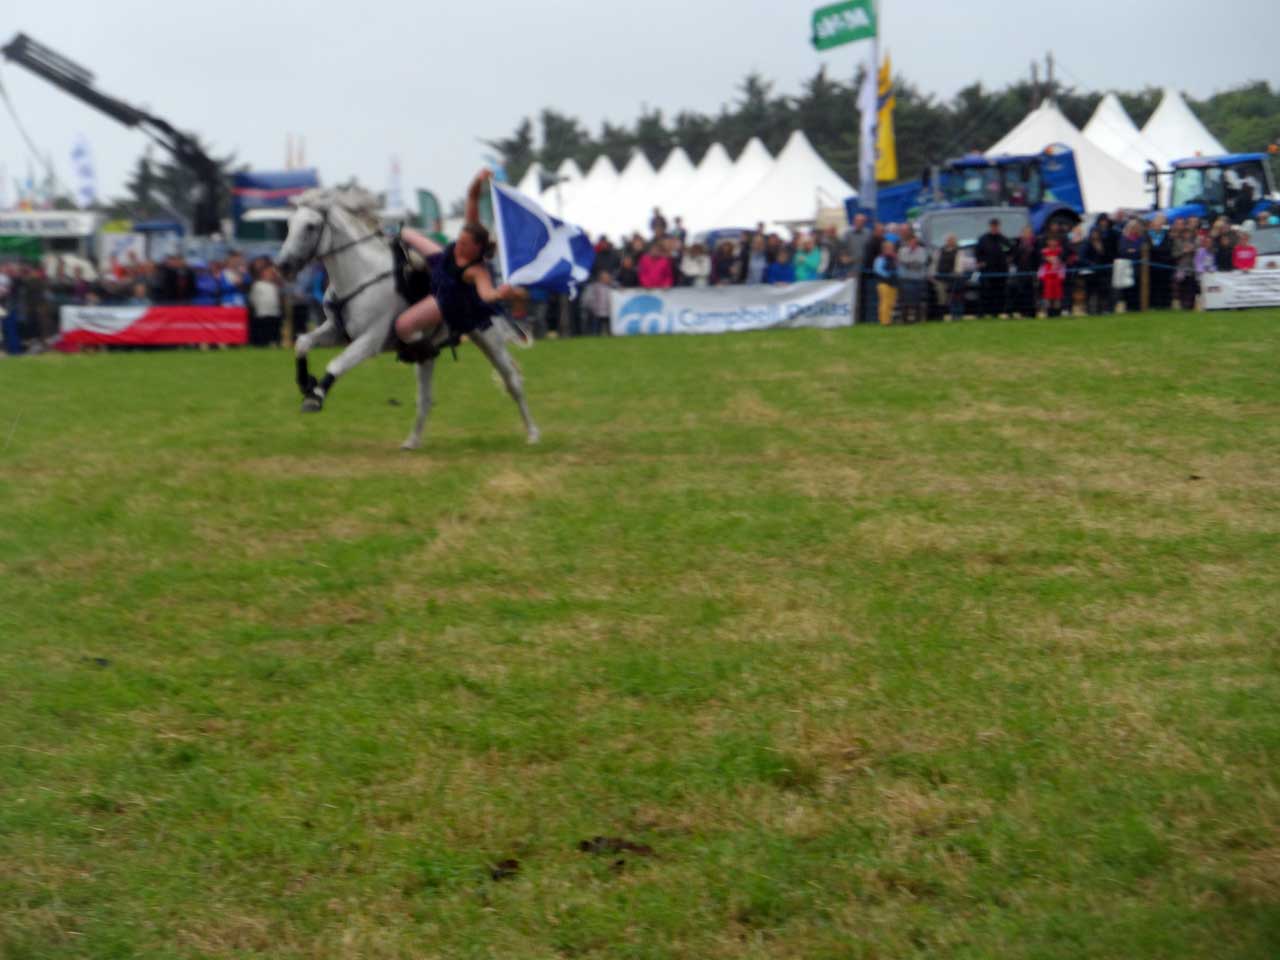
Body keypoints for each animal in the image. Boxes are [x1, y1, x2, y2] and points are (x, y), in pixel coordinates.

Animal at [275, 188, 540, 450]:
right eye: (289, 224)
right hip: (428, 355)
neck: (361, 275)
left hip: (489, 338)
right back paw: (412, 441)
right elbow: (302, 343)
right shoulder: (337, 331)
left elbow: (336, 364)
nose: (282, 265)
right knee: (425, 398)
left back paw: (533, 434)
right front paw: (305, 382)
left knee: (513, 382)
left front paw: (314, 398)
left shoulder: (369, 341)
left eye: (310, 226)